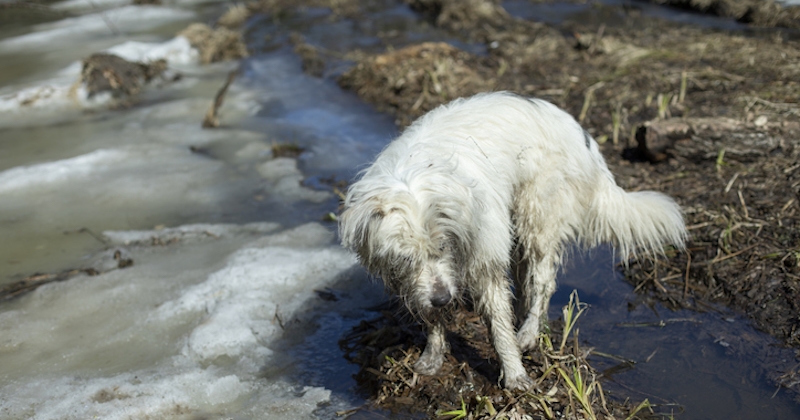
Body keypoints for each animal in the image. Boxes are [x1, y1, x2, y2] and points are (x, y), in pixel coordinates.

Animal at [340, 92, 688, 390]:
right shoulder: (421, 281)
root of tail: (580, 133)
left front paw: (514, 373)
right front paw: (433, 354)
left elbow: (498, 326)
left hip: (537, 215)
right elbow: (433, 316)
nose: (442, 298)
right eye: (406, 258)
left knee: (543, 280)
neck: (417, 175)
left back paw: (530, 332)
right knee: (524, 278)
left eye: (444, 247)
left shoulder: (483, 260)